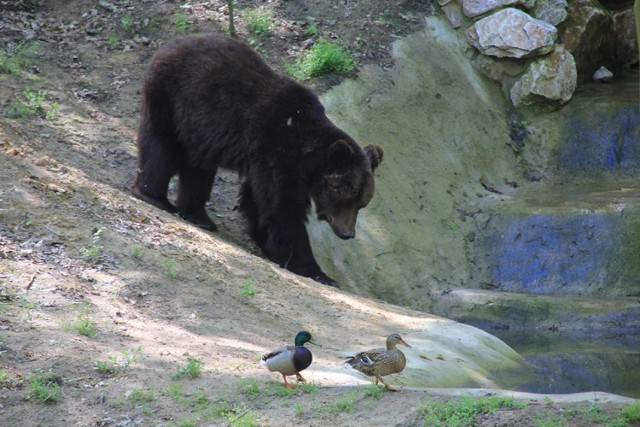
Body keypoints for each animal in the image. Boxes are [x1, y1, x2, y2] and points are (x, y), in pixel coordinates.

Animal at [130, 34, 380, 288]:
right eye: (345, 196)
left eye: (362, 203)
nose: (348, 233)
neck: (306, 151)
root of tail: (170, 44)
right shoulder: (278, 151)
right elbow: (283, 208)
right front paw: (316, 271)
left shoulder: (266, 159)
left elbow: (256, 201)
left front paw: (265, 239)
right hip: (171, 97)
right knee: (162, 145)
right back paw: (154, 196)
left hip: (198, 129)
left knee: (198, 167)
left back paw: (198, 214)